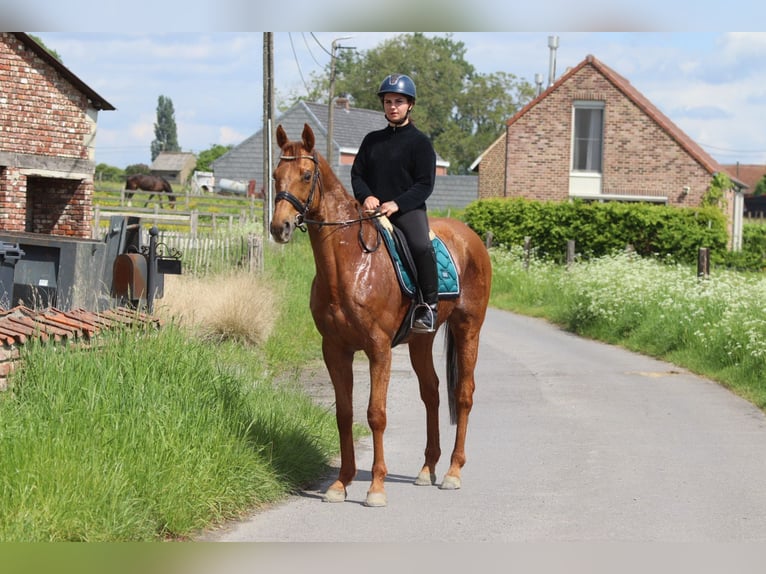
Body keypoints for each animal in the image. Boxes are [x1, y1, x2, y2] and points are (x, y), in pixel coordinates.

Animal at [270, 123, 492, 507]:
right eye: (274, 175)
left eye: (307, 175)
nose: (279, 227)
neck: (350, 263)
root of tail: (471, 238)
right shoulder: (335, 349)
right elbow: (344, 414)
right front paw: (341, 482)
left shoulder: (378, 349)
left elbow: (376, 414)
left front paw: (375, 487)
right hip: (421, 340)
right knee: (432, 393)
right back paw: (426, 469)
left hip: (469, 329)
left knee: (463, 394)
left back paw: (452, 472)